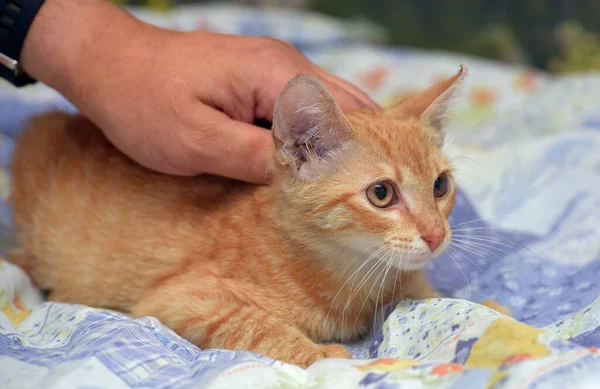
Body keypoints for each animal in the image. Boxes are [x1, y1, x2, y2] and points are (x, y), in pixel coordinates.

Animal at [8, 65, 506, 366]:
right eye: (381, 193)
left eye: (440, 186)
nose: (436, 235)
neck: (347, 273)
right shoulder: (179, 300)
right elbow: (255, 325)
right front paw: (326, 358)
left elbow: (426, 292)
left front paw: (488, 307)